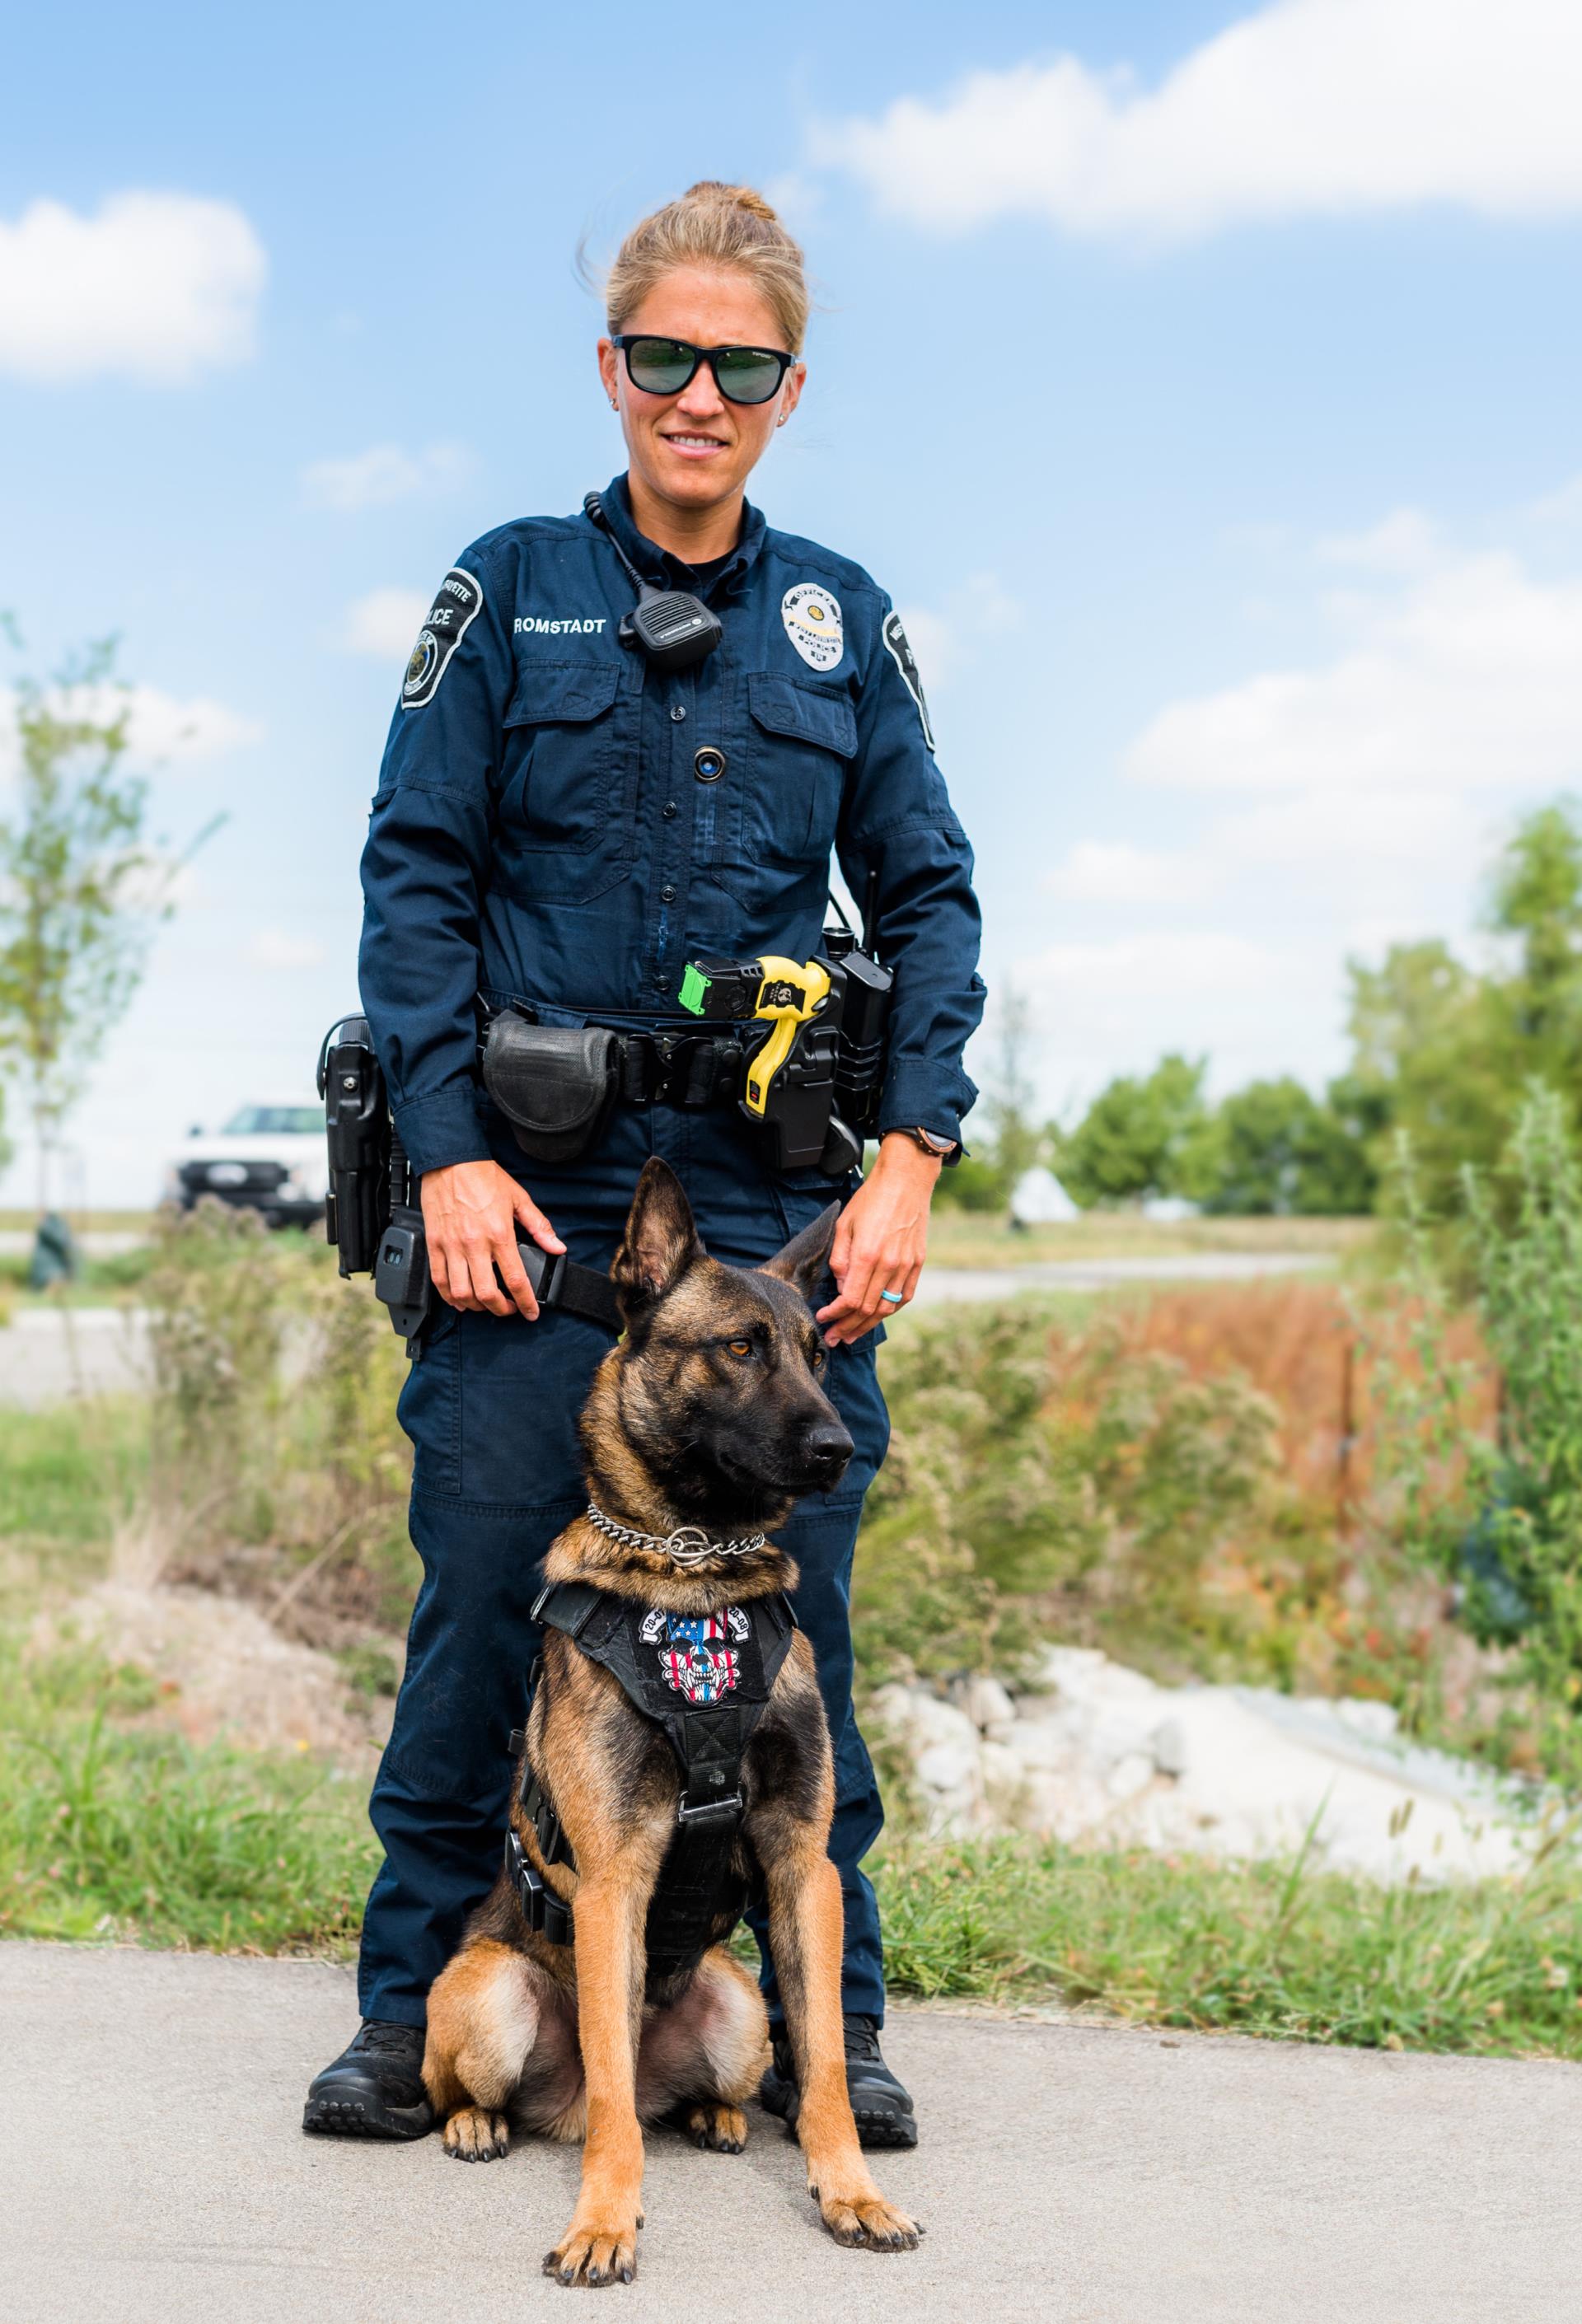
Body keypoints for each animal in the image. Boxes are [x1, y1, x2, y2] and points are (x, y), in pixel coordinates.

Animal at [423, 1162, 924, 2286]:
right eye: (739, 1347)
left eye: (819, 1354)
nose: (838, 1447)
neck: (697, 1568)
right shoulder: (616, 1878)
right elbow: (616, 2092)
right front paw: (604, 2220)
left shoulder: (803, 1867)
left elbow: (826, 2061)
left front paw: (853, 2194)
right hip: (485, 1990)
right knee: (523, 2087)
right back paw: (478, 2122)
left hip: (737, 2009)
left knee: (716, 2076)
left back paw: (715, 2115)